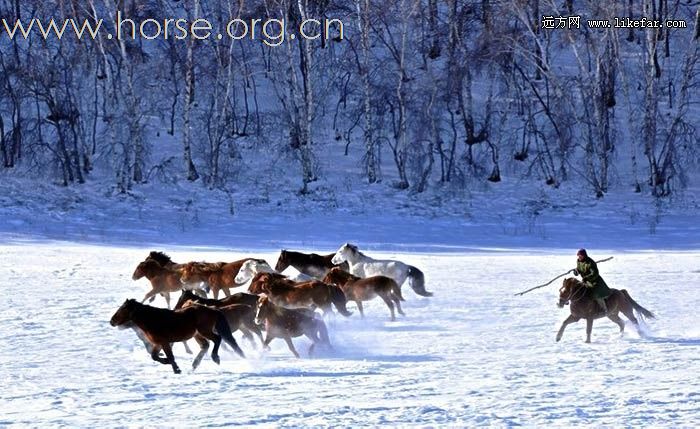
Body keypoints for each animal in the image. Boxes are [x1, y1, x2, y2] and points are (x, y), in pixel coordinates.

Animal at [110, 298, 245, 372]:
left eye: (122, 309)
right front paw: (168, 363)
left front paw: (177, 370)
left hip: (204, 331)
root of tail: (213, 309)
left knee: (217, 339)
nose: (111, 321)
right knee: (206, 345)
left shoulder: (164, 342)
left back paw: (215, 358)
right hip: (198, 334)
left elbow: (170, 356)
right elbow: (155, 356)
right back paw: (195, 365)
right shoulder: (158, 343)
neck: (153, 319)